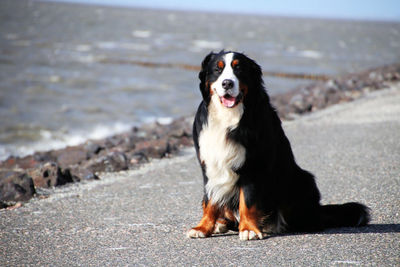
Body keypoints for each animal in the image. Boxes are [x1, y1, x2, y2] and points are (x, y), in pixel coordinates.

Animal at [188, 49, 368, 241]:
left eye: (239, 69)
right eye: (217, 69)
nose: (227, 83)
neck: (228, 117)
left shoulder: (253, 164)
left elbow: (248, 200)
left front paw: (249, 229)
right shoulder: (210, 164)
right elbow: (209, 200)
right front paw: (203, 227)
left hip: (303, 180)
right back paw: (221, 224)